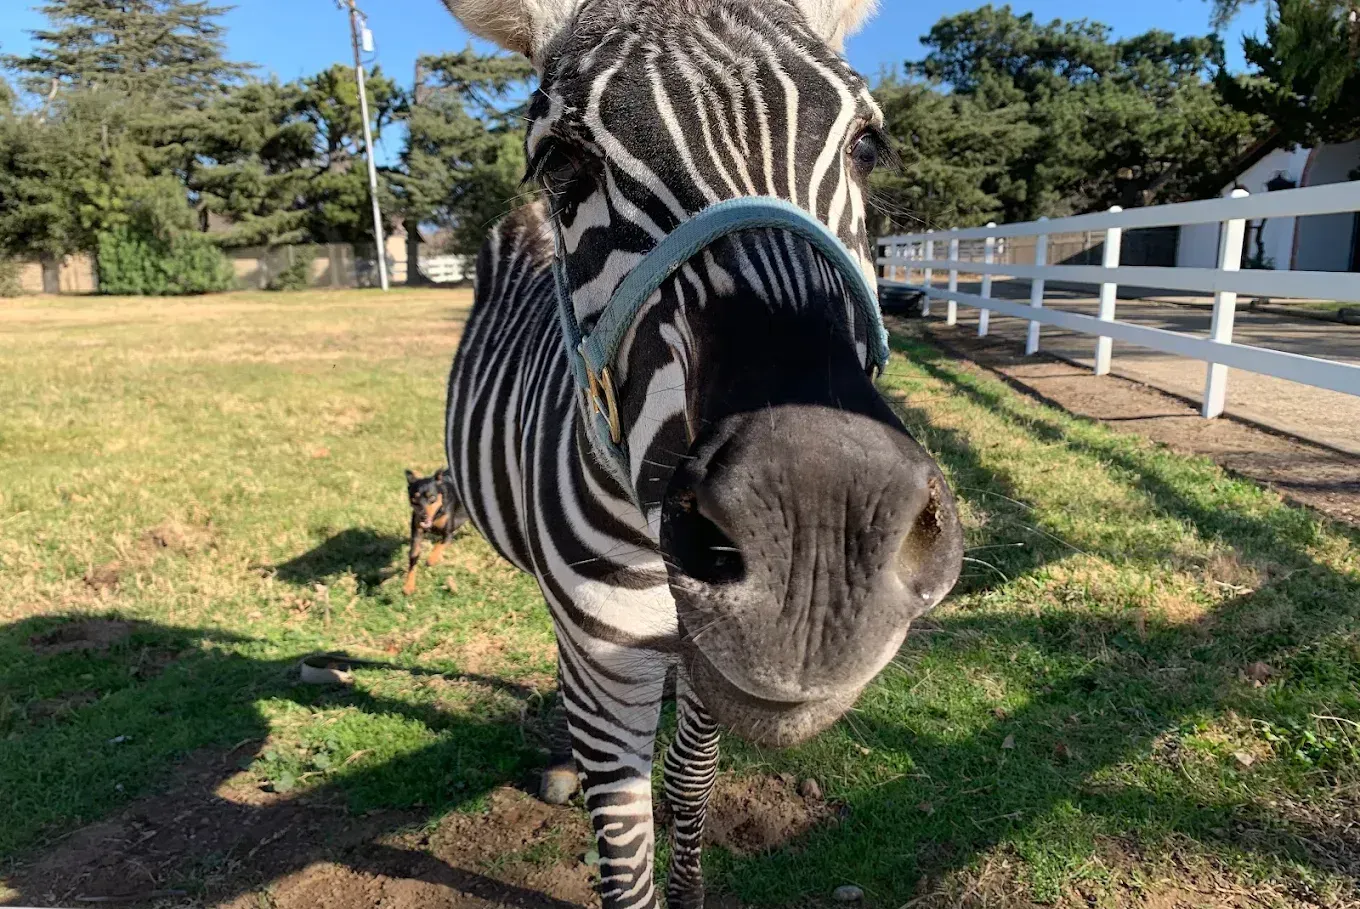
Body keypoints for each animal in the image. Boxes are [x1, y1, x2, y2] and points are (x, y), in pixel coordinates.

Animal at [439, 1, 965, 907]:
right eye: (561, 163)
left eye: (867, 147)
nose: (819, 543)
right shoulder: (603, 653)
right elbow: (623, 850)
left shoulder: (708, 655)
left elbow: (689, 779)